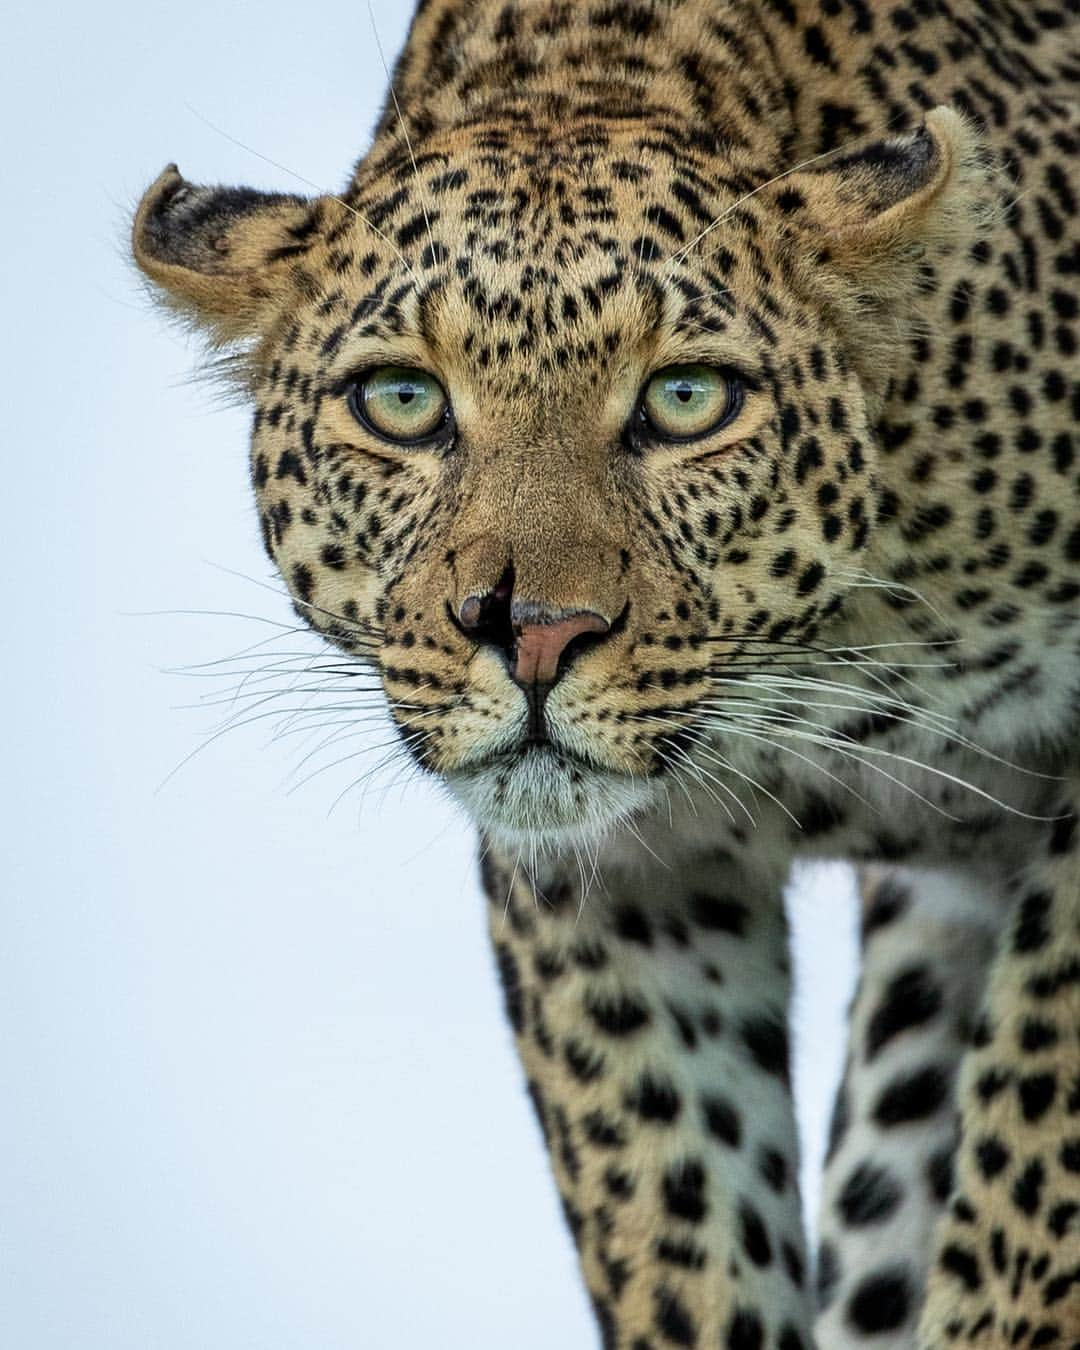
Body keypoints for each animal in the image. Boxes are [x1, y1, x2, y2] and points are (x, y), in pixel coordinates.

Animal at [130, 5, 1074, 1344]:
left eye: (686, 398)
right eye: (402, 400)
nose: (532, 631)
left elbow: (1035, 1141)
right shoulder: (620, 877)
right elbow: (678, 1216)